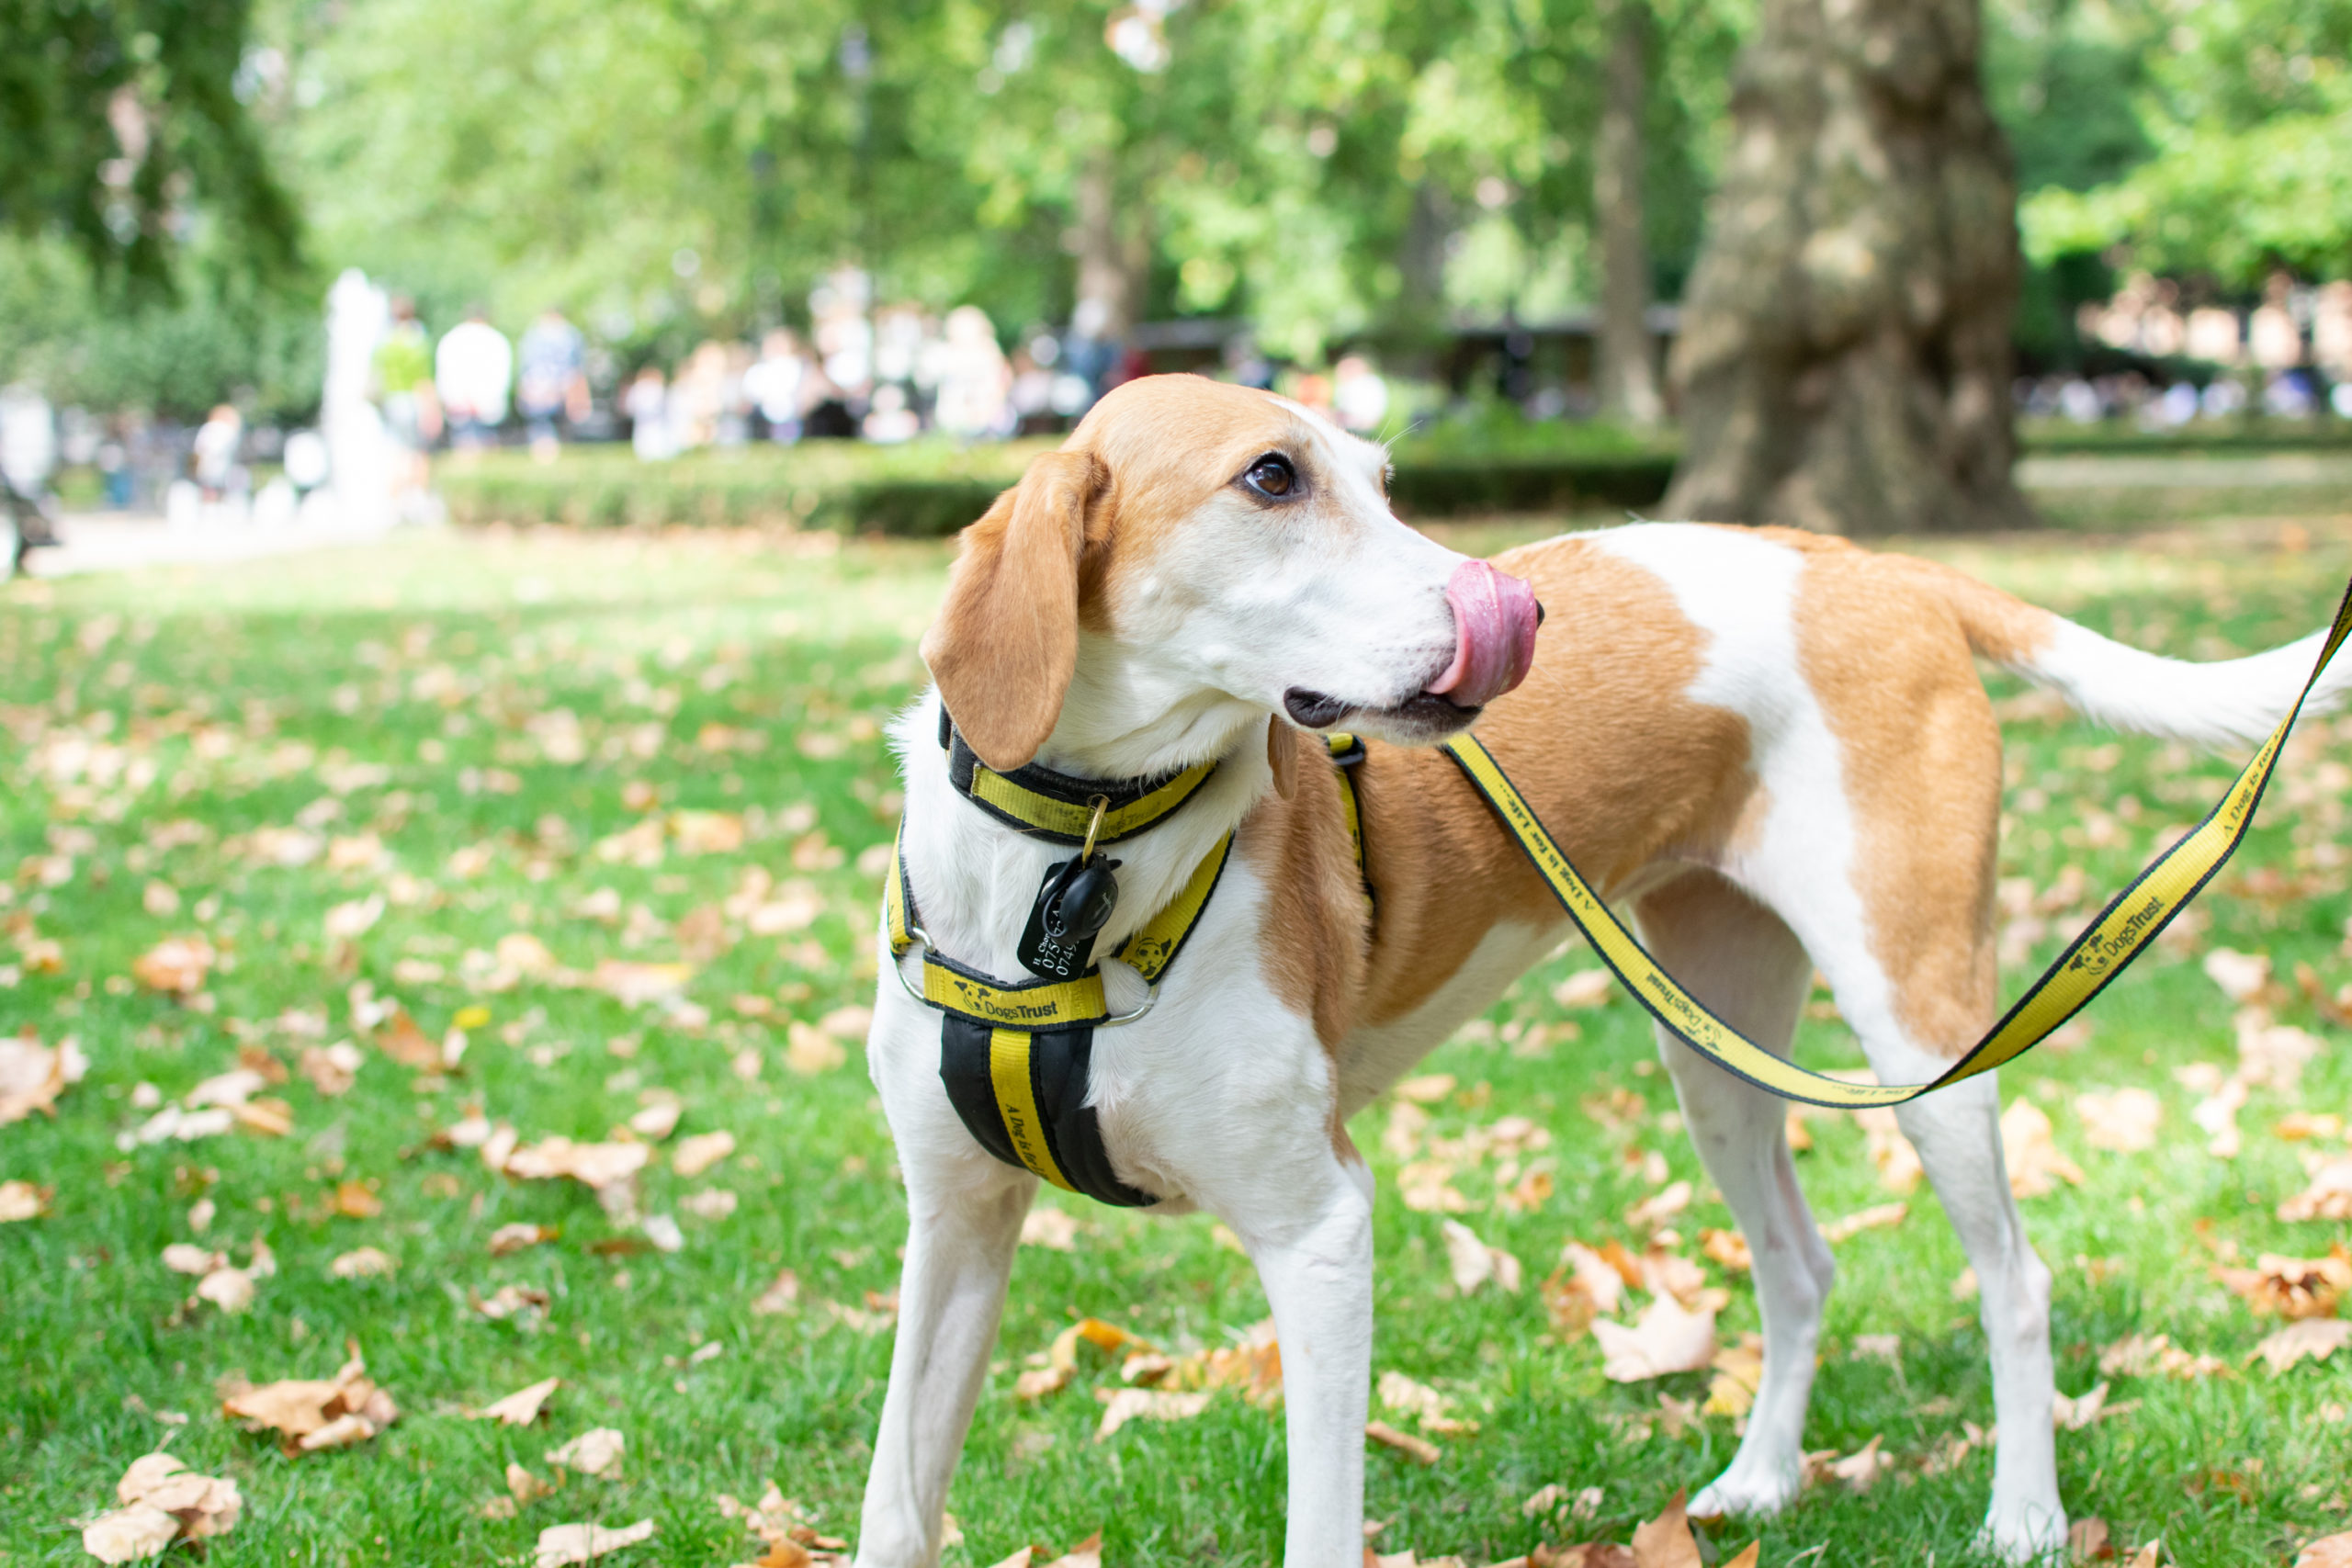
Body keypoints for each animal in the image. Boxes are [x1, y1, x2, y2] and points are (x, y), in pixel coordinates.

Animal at [855, 373, 2342, 1561]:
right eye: (1271, 476)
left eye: (1386, 483)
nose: (1518, 606)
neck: (1081, 856)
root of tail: (1877, 565)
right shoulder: (954, 1228)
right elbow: (894, 1498)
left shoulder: (1320, 1227)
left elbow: (1321, 1524)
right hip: (1715, 1053)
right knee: (1801, 1267)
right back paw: (1760, 1482)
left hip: (1921, 1026)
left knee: (2015, 1282)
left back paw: (2025, 1515)